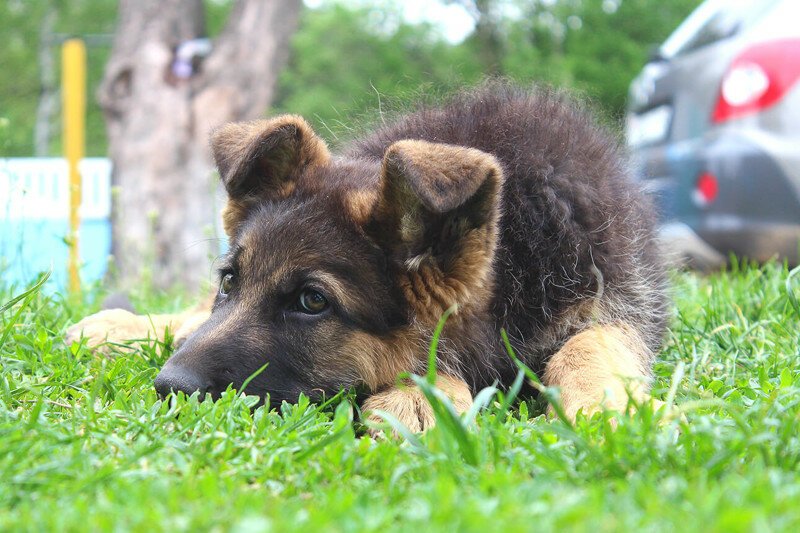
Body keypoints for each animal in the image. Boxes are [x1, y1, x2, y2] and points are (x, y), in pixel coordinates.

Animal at [67, 84, 668, 432]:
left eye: (313, 302)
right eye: (229, 281)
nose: (169, 387)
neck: (513, 254)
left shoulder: (619, 297)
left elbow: (592, 343)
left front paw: (610, 407)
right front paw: (422, 397)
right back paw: (111, 327)